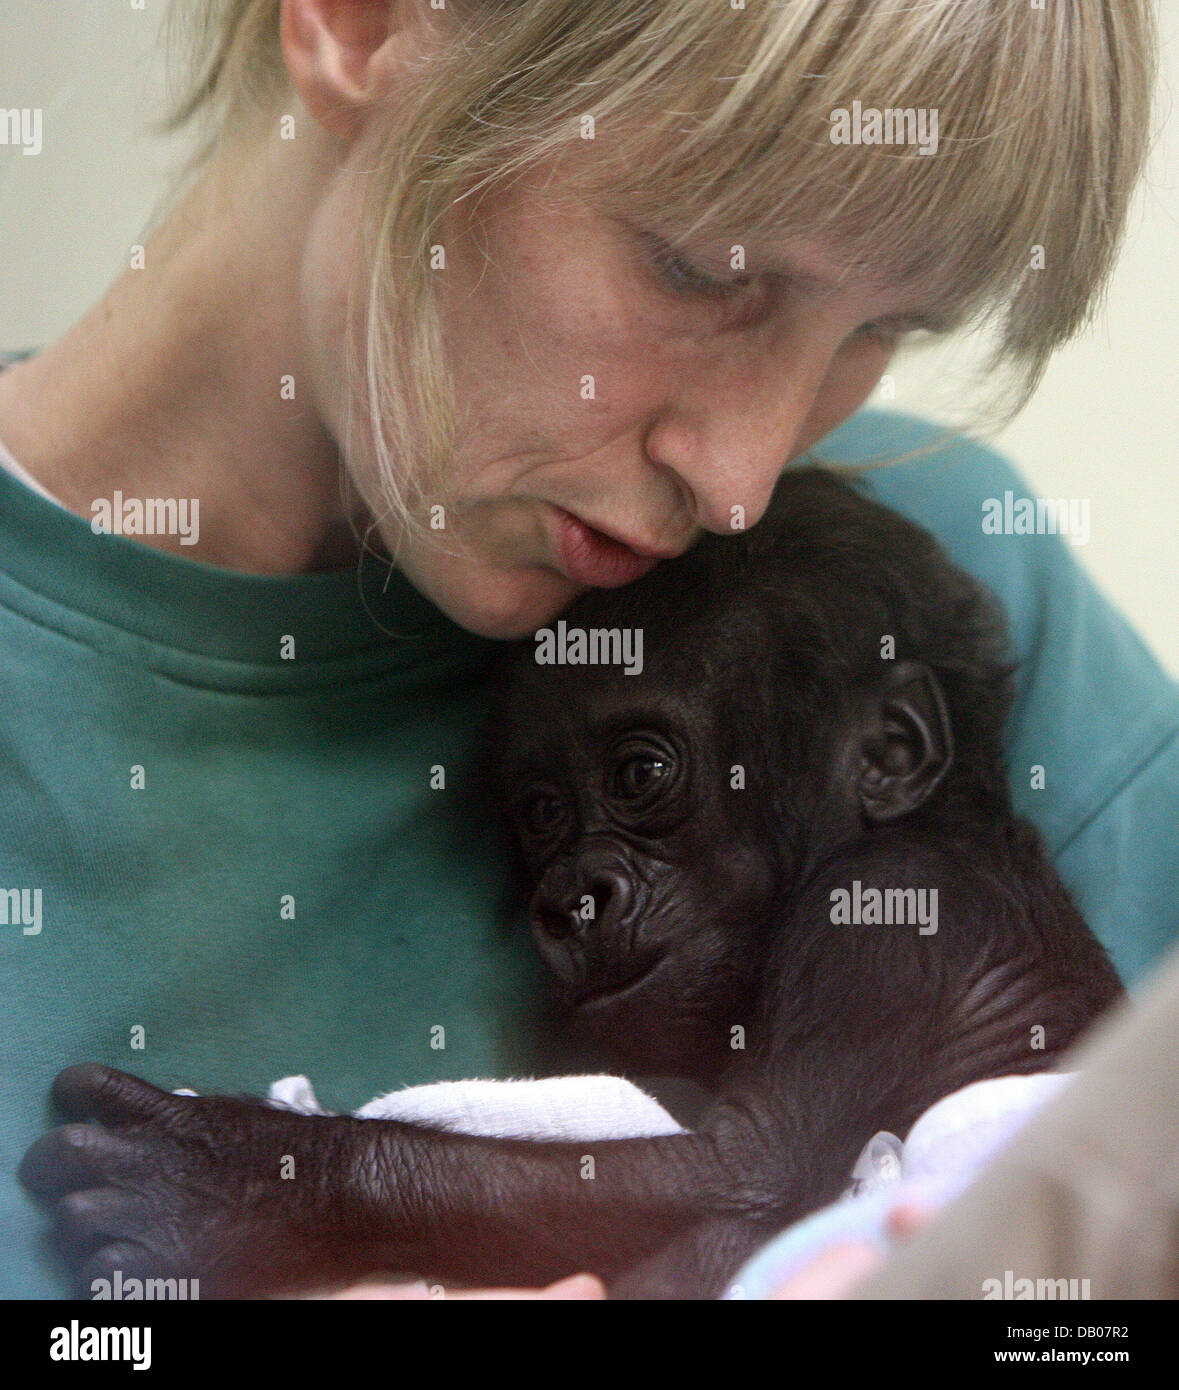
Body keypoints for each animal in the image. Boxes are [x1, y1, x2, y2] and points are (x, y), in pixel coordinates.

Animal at [22, 469, 1117, 1301]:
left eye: (638, 774)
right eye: (543, 813)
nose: (573, 898)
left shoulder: (884, 911)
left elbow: (744, 1167)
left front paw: (237, 1181)